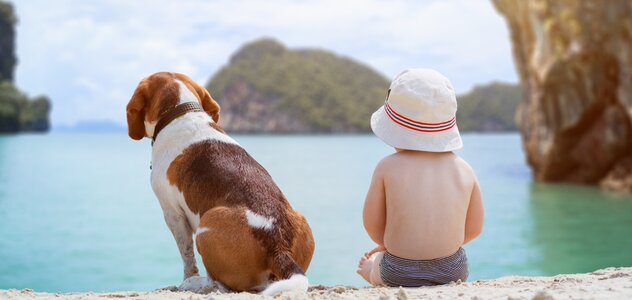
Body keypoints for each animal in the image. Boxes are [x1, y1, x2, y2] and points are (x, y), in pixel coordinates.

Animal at [126, 71, 316, 294]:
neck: (181, 112)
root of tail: (278, 246)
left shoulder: (172, 212)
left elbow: (187, 255)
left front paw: (188, 277)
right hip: (301, 220)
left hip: (206, 225)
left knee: (219, 284)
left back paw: (193, 283)